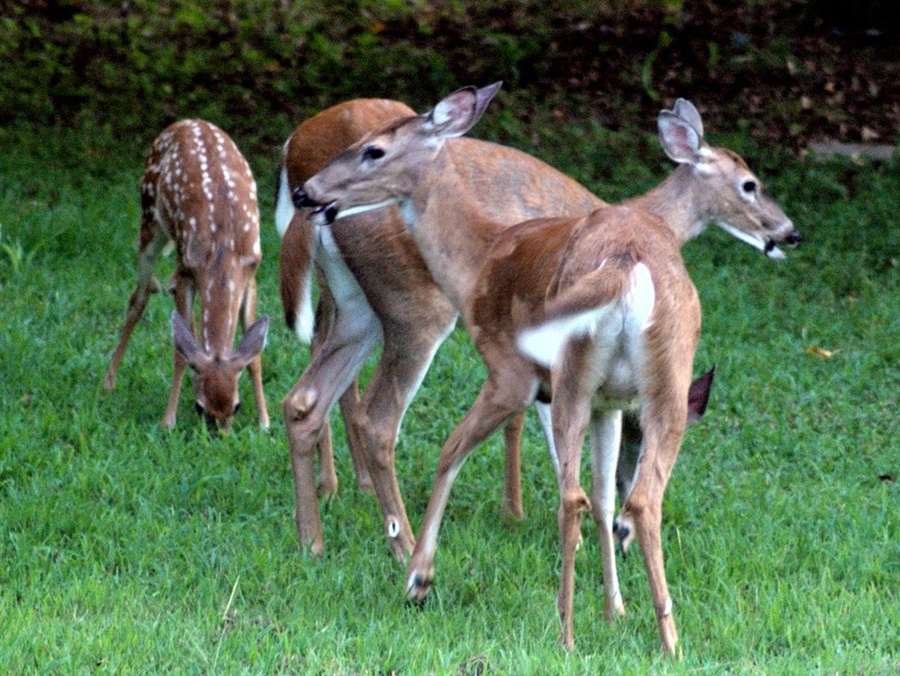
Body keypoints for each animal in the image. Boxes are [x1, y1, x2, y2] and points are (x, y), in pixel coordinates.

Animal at [104, 119, 270, 433]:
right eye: (200, 408)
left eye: (237, 406)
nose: (220, 435)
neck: (223, 253)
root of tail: (185, 122)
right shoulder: (187, 269)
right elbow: (180, 355)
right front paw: (167, 421)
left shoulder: (251, 272)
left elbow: (253, 354)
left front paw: (265, 421)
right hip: (149, 219)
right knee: (139, 297)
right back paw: (109, 381)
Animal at [300, 84, 799, 654]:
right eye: (749, 184)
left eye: (374, 151)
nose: (309, 192)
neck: (479, 257)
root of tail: (627, 267)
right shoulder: (591, 397)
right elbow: (597, 493)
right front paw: (614, 606)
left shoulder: (515, 375)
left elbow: (457, 453)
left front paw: (421, 580)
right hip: (654, 383)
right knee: (637, 498)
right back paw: (664, 638)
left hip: (480, 345)